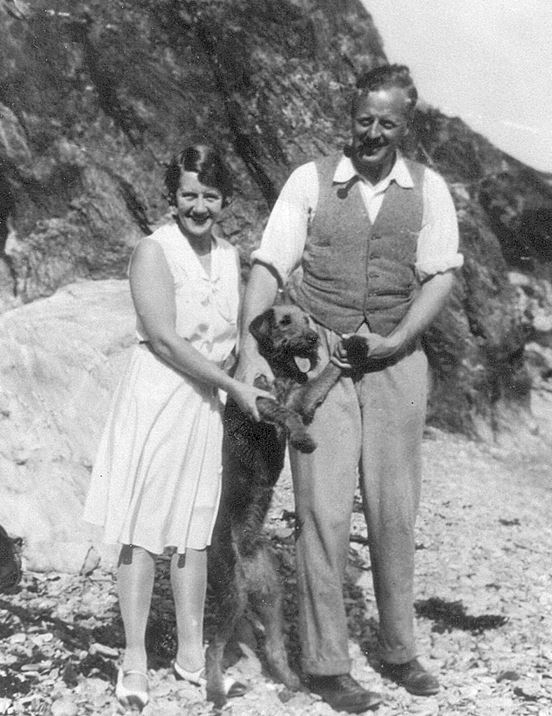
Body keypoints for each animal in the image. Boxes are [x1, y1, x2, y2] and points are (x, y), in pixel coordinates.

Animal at [203, 304, 366, 708]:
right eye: (284, 322)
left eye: (307, 320)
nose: (312, 339)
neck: (279, 369)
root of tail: (245, 553)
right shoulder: (259, 401)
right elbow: (284, 413)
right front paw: (305, 440)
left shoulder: (302, 398)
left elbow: (322, 378)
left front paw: (351, 349)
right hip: (231, 595)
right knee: (213, 649)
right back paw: (216, 692)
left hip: (271, 593)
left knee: (275, 649)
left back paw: (295, 684)